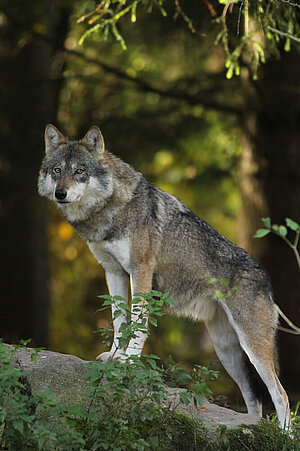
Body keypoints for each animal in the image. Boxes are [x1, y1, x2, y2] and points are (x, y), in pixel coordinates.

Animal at [38, 124, 290, 430]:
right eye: (57, 170)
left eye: (79, 171)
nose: (61, 193)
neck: (112, 210)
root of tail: (265, 277)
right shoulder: (113, 272)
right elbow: (119, 320)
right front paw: (114, 355)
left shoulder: (140, 270)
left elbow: (138, 322)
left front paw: (129, 360)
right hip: (227, 351)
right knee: (254, 402)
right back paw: (249, 428)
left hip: (252, 347)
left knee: (281, 395)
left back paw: (285, 435)